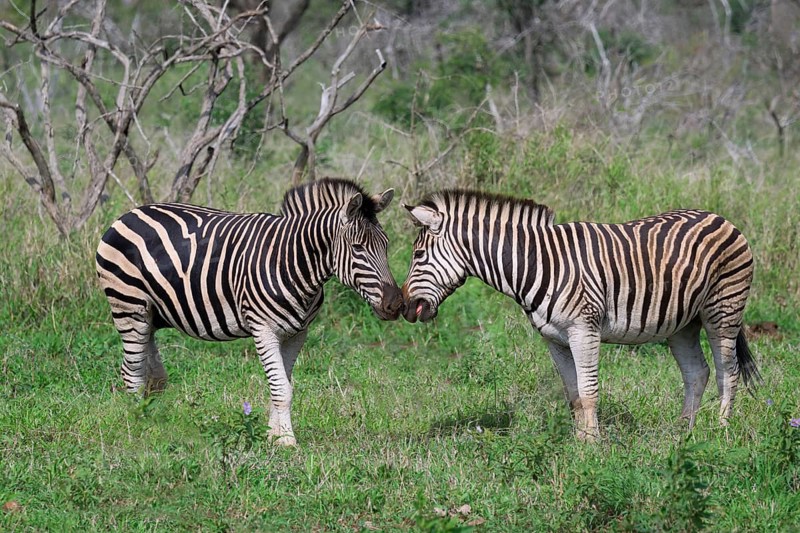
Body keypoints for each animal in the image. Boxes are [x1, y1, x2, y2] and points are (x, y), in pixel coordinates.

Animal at [96, 178, 403, 446]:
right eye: (358, 248)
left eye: (386, 245)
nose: (396, 305)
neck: (293, 262)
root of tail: (128, 214)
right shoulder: (263, 327)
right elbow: (282, 388)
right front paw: (287, 441)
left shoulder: (297, 332)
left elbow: (282, 385)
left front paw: (273, 435)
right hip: (128, 305)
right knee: (131, 372)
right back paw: (139, 424)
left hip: (149, 314)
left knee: (152, 376)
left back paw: (151, 419)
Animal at [401, 190, 760, 440]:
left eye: (418, 255)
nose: (405, 308)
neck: (538, 263)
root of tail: (720, 217)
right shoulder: (555, 340)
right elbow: (573, 396)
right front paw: (579, 444)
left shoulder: (584, 330)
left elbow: (589, 394)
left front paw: (593, 449)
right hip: (683, 324)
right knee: (697, 373)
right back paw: (683, 432)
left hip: (722, 310)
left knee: (727, 372)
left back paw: (720, 431)